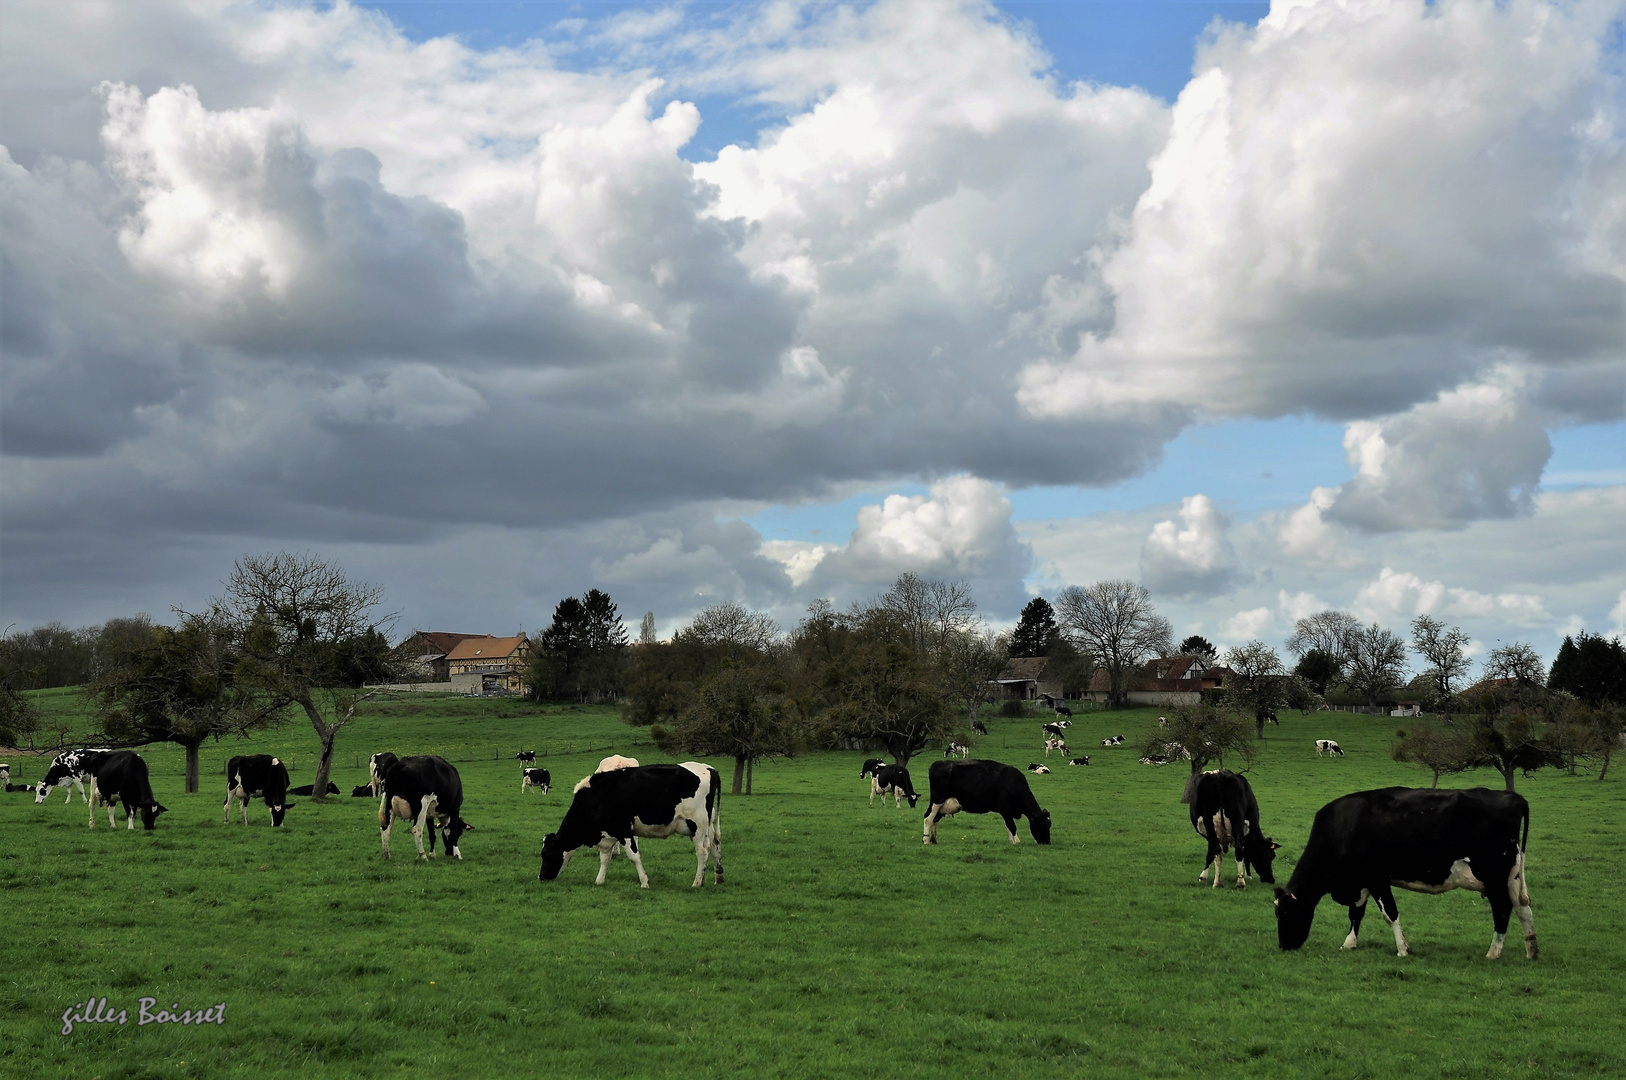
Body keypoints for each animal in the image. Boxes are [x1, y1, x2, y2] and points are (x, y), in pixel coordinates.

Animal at [539, 757, 725, 884]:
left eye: (546, 854)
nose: (541, 877)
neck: (596, 797)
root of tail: (709, 768)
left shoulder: (623, 830)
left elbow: (633, 856)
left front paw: (644, 882)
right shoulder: (608, 833)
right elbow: (605, 858)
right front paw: (599, 880)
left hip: (697, 825)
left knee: (702, 851)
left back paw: (697, 883)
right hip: (708, 824)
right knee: (715, 845)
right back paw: (718, 878)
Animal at [1268, 783, 1534, 962]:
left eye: (1285, 912)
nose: (1283, 946)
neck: (1342, 828)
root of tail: (1512, 796)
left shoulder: (1377, 878)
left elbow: (1390, 914)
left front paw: (1403, 949)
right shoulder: (1360, 881)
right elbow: (1356, 914)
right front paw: (1349, 943)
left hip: (1493, 875)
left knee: (1503, 909)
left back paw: (1493, 952)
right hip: (1511, 875)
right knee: (1523, 908)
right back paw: (1532, 950)